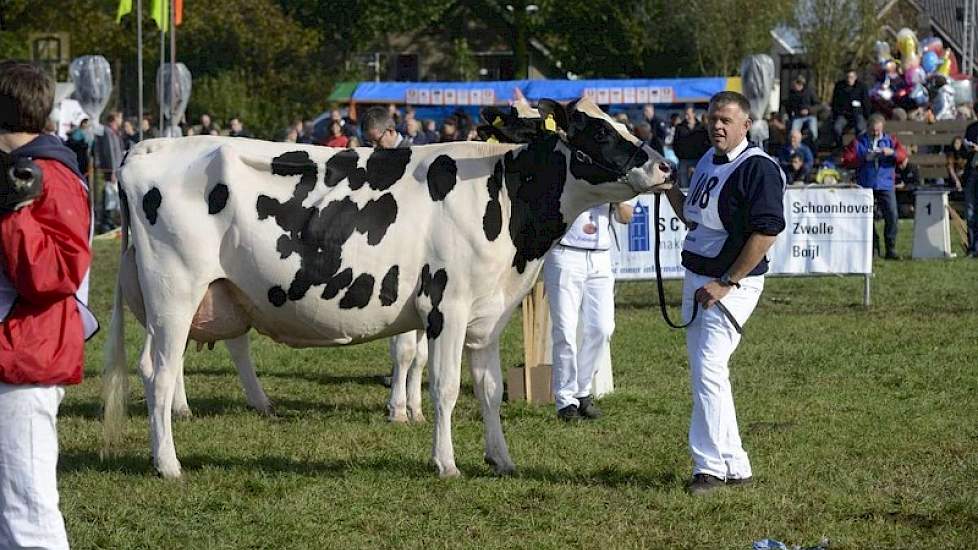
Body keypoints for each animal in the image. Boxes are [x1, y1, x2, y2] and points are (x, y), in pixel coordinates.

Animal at [105, 98, 672, 478]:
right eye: (598, 133)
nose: (665, 165)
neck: (504, 195)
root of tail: (152, 146)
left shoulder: (489, 315)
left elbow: (488, 389)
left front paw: (502, 459)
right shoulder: (448, 304)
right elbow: (446, 388)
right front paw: (445, 463)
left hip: (202, 294)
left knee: (179, 361)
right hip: (174, 293)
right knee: (158, 373)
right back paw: (169, 464)